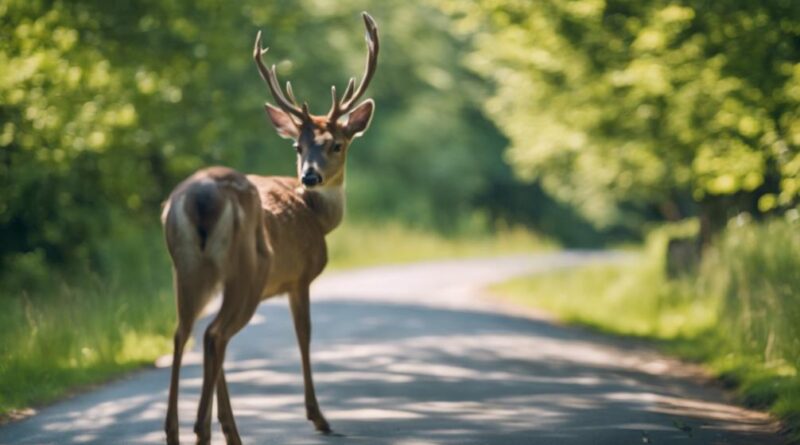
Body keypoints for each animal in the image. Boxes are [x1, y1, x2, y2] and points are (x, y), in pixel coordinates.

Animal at [161, 12, 380, 442]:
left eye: (337, 144)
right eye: (298, 146)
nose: (310, 177)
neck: (318, 218)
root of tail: (201, 197)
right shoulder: (300, 277)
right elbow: (304, 335)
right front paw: (319, 417)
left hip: (187, 266)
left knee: (186, 333)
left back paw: (180, 430)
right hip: (248, 268)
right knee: (214, 335)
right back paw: (204, 429)